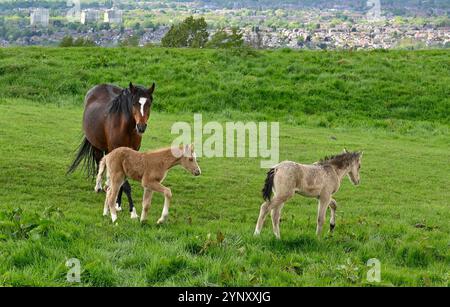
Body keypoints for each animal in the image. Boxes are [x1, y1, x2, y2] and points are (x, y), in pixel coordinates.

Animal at [67, 82, 156, 217]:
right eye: (134, 103)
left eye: (149, 104)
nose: (141, 127)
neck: (126, 128)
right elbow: (124, 184)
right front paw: (132, 211)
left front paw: (118, 204)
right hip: (97, 146)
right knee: (99, 163)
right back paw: (98, 187)